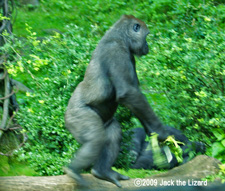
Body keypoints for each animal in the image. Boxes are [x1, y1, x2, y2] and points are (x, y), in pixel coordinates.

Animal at [64, 15, 171, 188]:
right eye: (146, 35)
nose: (147, 46)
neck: (120, 36)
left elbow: (136, 99)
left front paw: (153, 134)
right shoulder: (116, 51)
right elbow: (129, 93)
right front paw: (160, 131)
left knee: (112, 131)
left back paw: (102, 171)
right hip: (75, 116)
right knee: (95, 139)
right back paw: (73, 171)